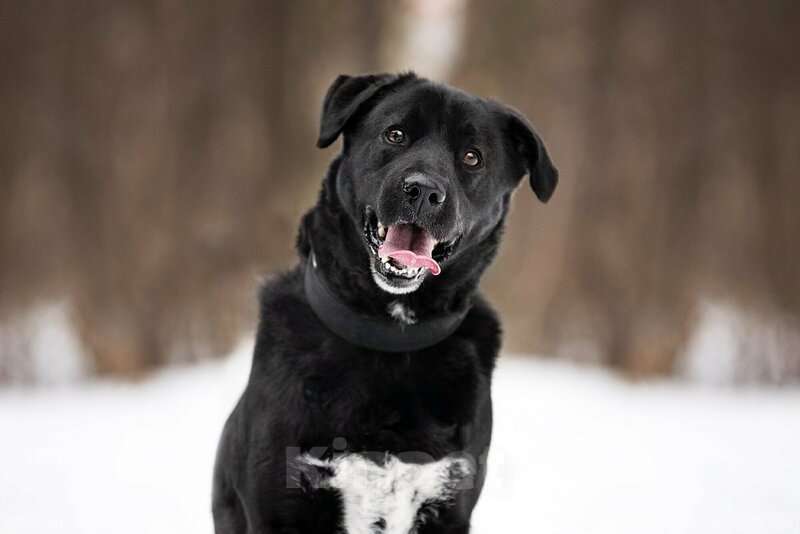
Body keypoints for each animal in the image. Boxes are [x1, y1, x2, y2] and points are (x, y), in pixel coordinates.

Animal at [216, 72, 560, 534]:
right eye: (395, 134)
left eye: (472, 158)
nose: (423, 191)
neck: (391, 338)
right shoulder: (281, 503)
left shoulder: (449, 500)